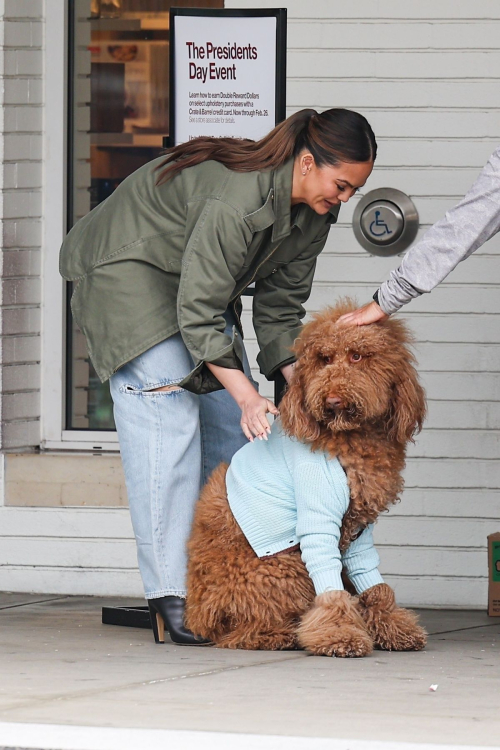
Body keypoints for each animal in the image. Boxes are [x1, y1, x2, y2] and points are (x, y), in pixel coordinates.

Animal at [186, 300, 428, 656]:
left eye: (357, 356)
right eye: (323, 359)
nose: (332, 400)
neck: (351, 438)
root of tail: (199, 615)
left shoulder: (358, 527)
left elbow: (370, 577)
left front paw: (393, 625)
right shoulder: (318, 521)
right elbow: (329, 591)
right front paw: (339, 634)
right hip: (283, 567)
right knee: (245, 631)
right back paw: (281, 635)